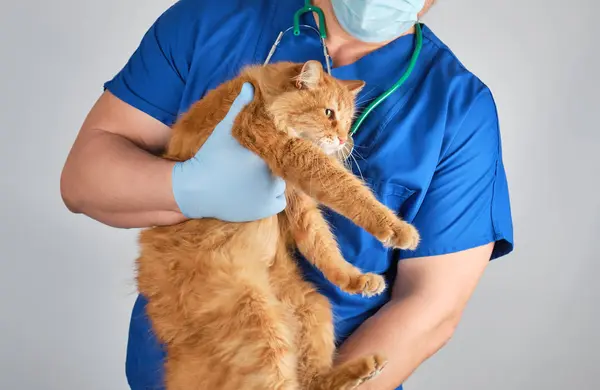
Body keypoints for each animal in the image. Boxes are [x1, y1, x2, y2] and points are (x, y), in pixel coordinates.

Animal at [137, 61, 420, 390]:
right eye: (329, 113)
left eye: (348, 121)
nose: (341, 139)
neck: (264, 95)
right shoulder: (292, 152)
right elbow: (349, 192)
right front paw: (398, 229)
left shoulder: (297, 200)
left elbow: (323, 246)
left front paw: (354, 279)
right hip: (258, 328)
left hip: (312, 306)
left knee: (313, 382)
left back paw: (362, 371)